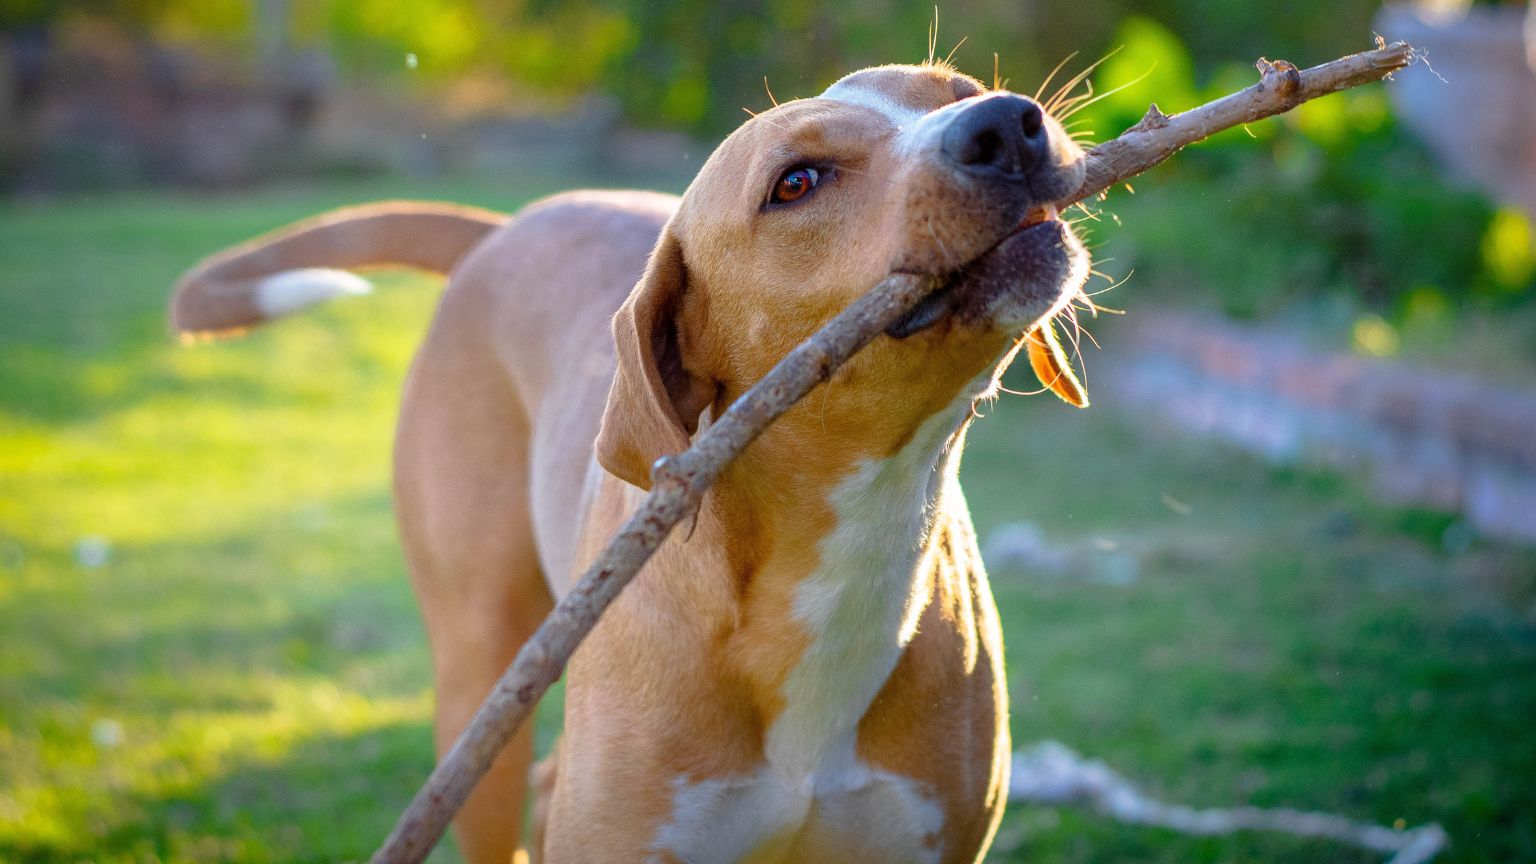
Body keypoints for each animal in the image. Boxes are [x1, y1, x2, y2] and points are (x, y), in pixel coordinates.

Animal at [171, 60, 1093, 860]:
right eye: (797, 182)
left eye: (959, 90)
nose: (1005, 124)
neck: (846, 546)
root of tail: (508, 227)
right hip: (479, 686)